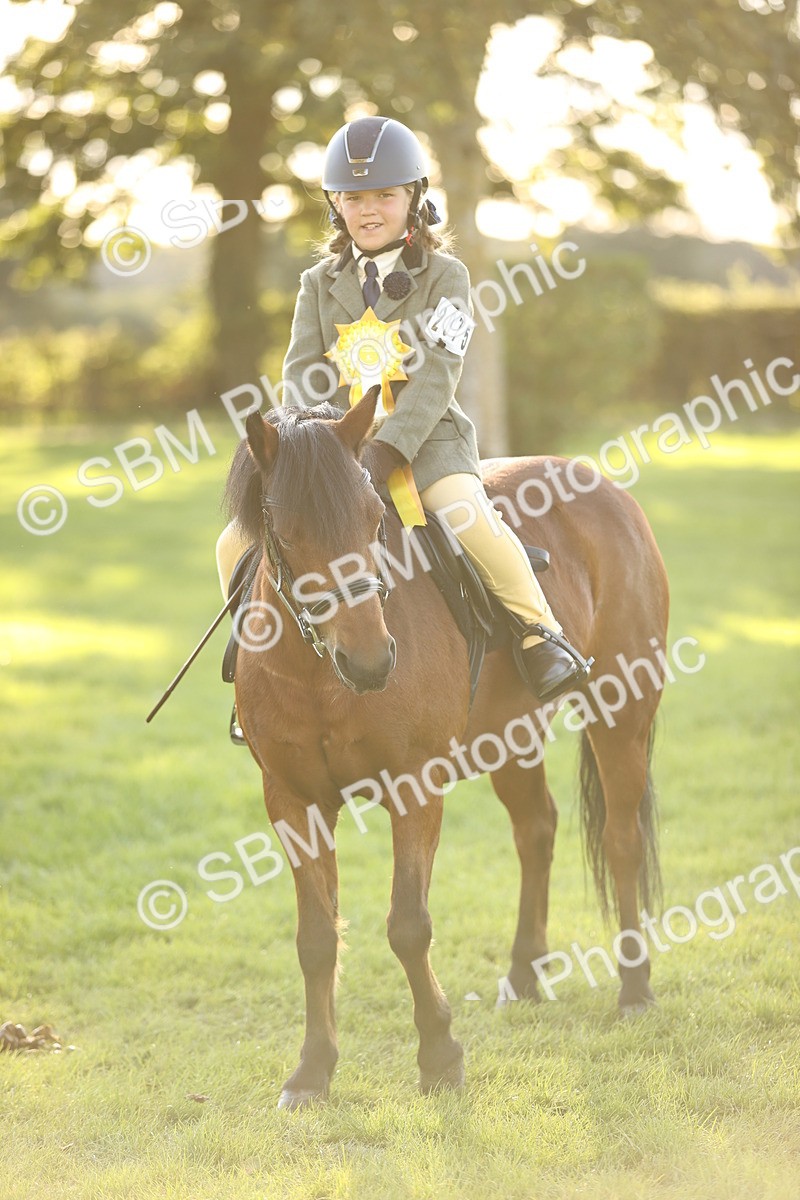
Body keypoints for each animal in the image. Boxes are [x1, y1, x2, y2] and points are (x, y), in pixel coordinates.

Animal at [223, 390, 670, 1110]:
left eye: (374, 518)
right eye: (285, 533)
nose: (371, 661)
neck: (320, 674)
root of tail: (601, 485)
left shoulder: (414, 788)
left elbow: (409, 925)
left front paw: (439, 1056)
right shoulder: (292, 801)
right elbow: (316, 938)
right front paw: (312, 1071)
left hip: (620, 712)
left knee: (622, 841)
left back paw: (634, 987)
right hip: (511, 735)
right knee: (536, 829)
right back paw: (524, 976)